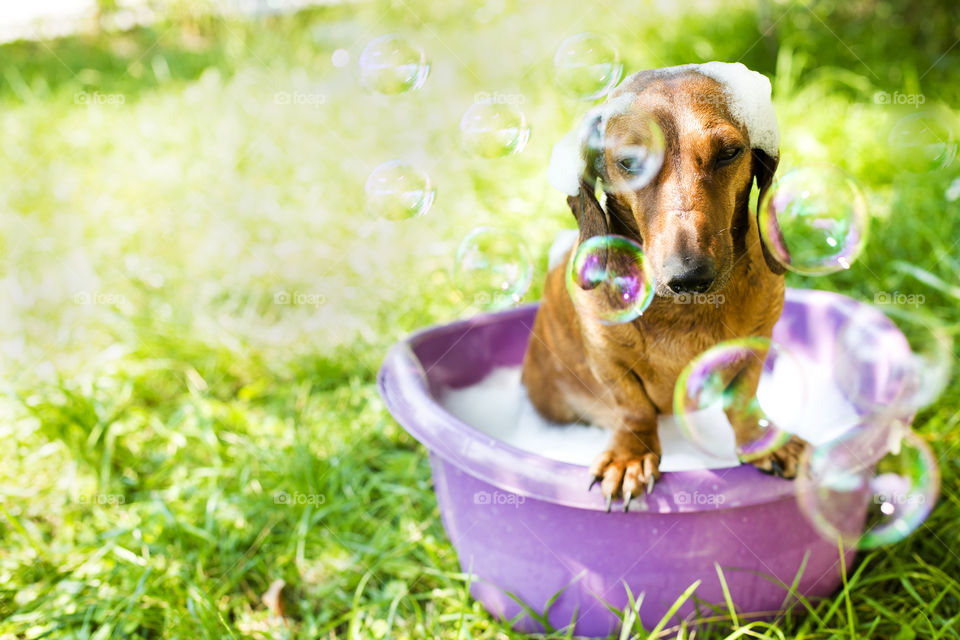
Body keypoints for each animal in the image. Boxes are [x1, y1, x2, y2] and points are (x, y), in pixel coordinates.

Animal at [520, 67, 808, 510]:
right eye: (630, 162)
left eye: (729, 152)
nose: (689, 275)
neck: (686, 312)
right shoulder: (609, 359)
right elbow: (633, 408)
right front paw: (629, 458)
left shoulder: (756, 342)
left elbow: (744, 399)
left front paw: (762, 442)